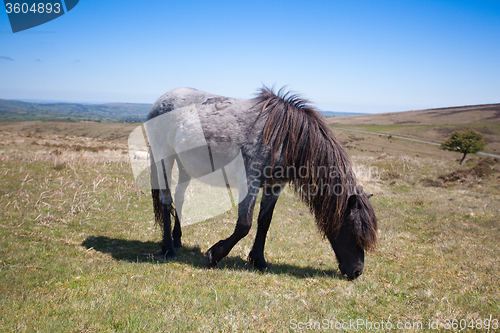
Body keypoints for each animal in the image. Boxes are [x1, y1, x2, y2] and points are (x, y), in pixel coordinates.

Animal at [146, 85, 376, 278]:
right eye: (354, 231)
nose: (357, 272)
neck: (285, 137)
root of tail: (160, 100)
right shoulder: (250, 182)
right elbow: (244, 225)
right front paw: (214, 255)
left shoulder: (274, 187)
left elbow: (264, 222)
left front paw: (259, 260)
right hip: (164, 158)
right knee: (166, 201)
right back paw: (169, 248)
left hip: (184, 164)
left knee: (179, 197)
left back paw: (177, 239)